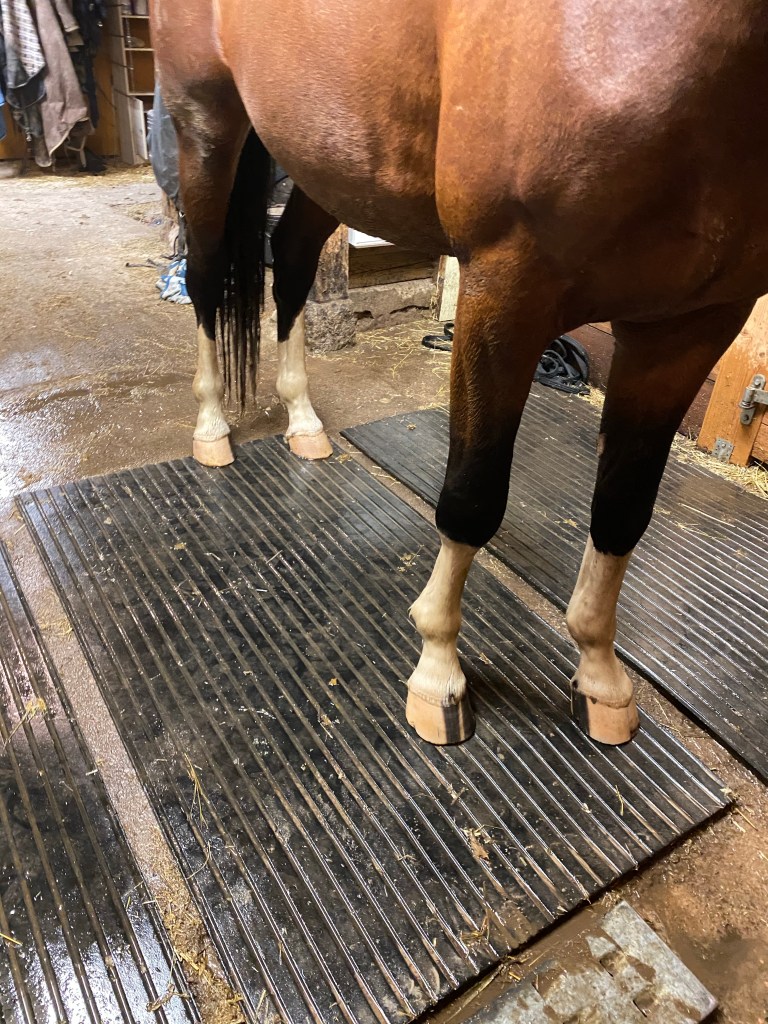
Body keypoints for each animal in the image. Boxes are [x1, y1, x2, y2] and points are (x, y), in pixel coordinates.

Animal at [151, 0, 768, 748]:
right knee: (208, 273)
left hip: (326, 153)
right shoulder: (505, 289)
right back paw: (212, 427)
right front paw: (438, 672)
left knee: (292, 257)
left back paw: (303, 420)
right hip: (207, 123)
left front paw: (598, 673)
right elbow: (472, 498)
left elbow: (622, 511)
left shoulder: (691, 326)